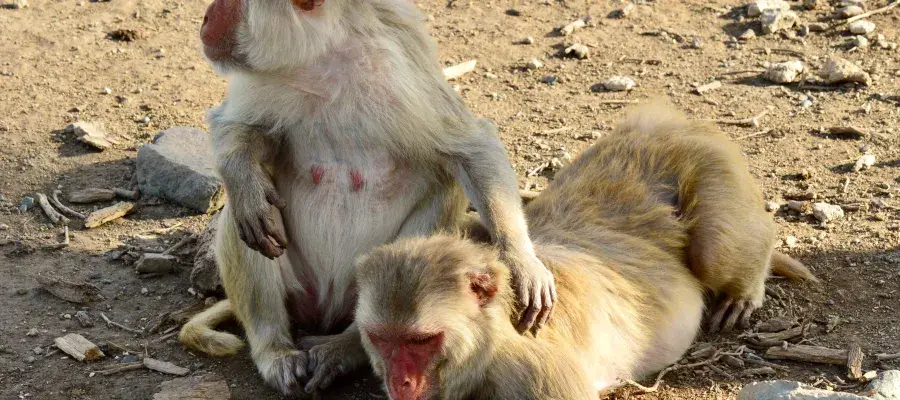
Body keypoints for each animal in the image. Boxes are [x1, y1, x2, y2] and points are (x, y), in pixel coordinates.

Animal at [180, 0, 555, 395]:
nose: (207, 17)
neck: (326, 54)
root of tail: (326, 308)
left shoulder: (401, 71)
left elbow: (471, 147)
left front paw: (521, 260)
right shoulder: (268, 79)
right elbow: (235, 129)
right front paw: (245, 182)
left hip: (359, 290)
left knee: (445, 184)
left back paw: (347, 348)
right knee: (241, 219)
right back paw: (274, 349)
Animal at [353, 105, 816, 400]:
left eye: (421, 341)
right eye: (382, 339)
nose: (399, 384)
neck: (487, 345)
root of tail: (662, 123)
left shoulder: (531, 371)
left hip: (711, 163)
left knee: (715, 251)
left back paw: (745, 288)